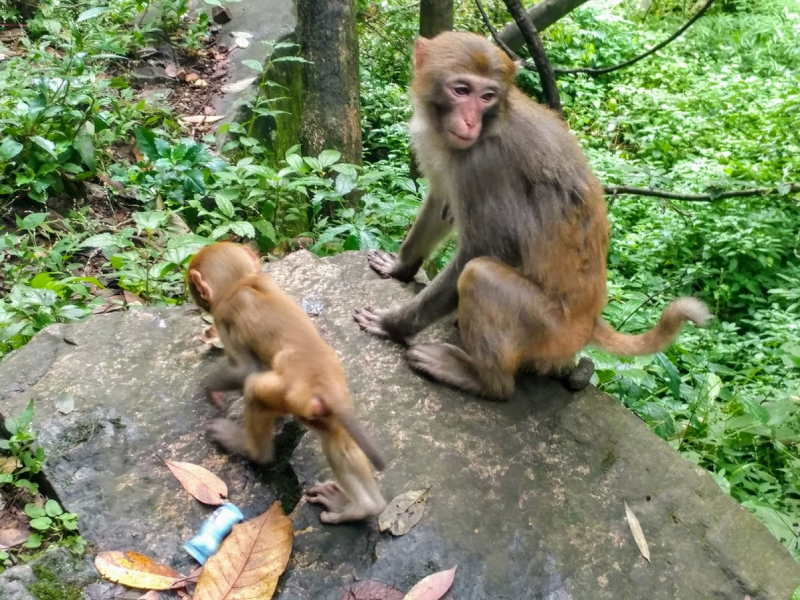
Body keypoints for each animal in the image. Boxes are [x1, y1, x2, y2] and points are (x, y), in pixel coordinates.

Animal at [188, 241, 388, 524]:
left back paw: (250, 450)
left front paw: (209, 386)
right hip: (321, 406)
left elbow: (245, 369)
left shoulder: (224, 317)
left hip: (288, 395)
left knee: (254, 389)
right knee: (336, 435)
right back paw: (364, 508)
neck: (243, 281)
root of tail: (323, 383)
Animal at [354, 31, 708, 398]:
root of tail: (590, 323)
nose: (469, 122)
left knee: (479, 275)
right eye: (461, 90)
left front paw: (393, 325)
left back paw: (483, 379)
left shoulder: (485, 164)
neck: (491, 123)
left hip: (548, 330)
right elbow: (441, 205)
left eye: (488, 96)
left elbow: (487, 248)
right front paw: (400, 266)